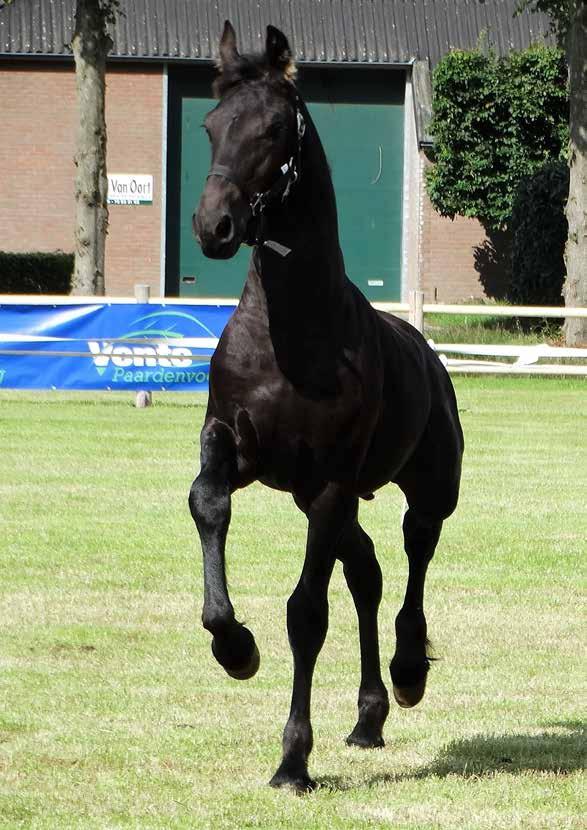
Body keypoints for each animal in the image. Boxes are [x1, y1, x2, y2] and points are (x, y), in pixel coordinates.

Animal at [191, 22, 466, 796]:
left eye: (273, 129)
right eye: (211, 124)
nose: (214, 226)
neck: (289, 336)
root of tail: (426, 350)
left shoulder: (331, 480)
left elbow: (306, 614)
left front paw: (292, 761)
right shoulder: (233, 447)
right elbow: (207, 504)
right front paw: (234, 646)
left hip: (421, 490)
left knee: (412, 555)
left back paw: (405, 674)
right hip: (322, 497)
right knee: (366, 571)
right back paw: (368, 717)